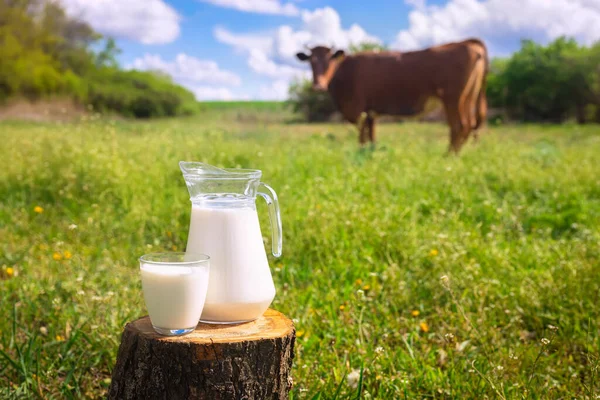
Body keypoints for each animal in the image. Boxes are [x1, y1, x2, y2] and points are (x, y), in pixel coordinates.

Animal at [296, 39, 488, 152]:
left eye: (330, 60)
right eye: (311, 61)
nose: (318, 86)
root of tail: (467, 42)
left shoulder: (359, 109)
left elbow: (362, 137)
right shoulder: (370, 112)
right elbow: (371, 137)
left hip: (452, 98)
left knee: (459, 126)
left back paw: (448, 156)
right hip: (468, 97)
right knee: (470, 125)